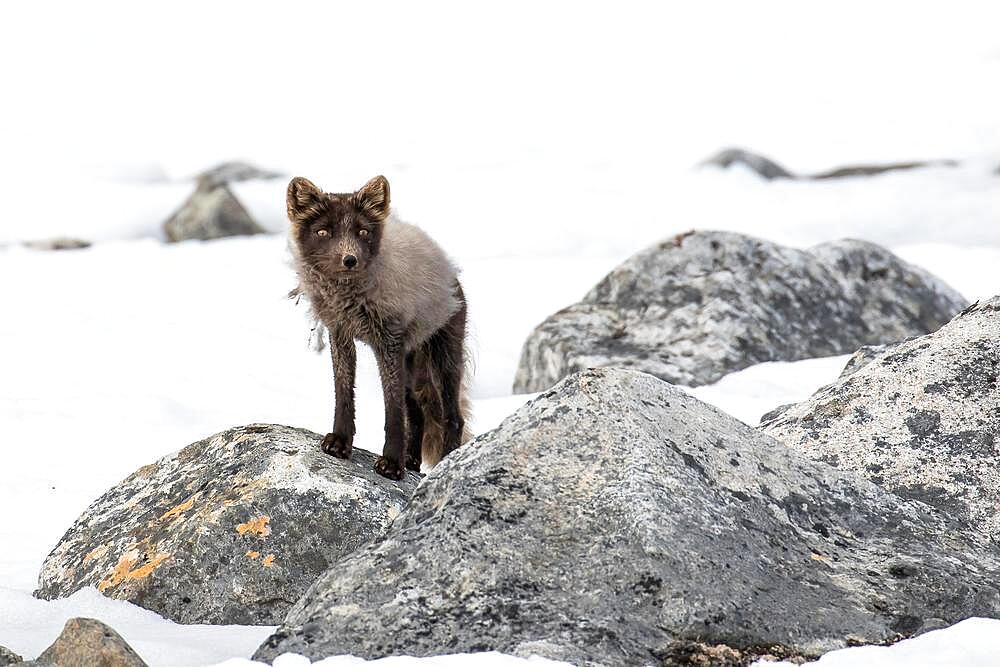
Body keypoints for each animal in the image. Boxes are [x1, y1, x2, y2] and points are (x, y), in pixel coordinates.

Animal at [288, 176, 470, 480]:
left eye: (362, 231)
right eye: (323, 232)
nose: (349, 260)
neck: (349, 300)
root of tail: (450, 273)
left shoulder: (388, 342)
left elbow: (392, 410)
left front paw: (391, 464)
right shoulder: (341, 334)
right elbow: (343, 394)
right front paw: (340, 442)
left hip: (442, 358)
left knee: (453, 417)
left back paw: (444, 462)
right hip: (411, 364)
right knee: (417, 411)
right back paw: (412, 461)